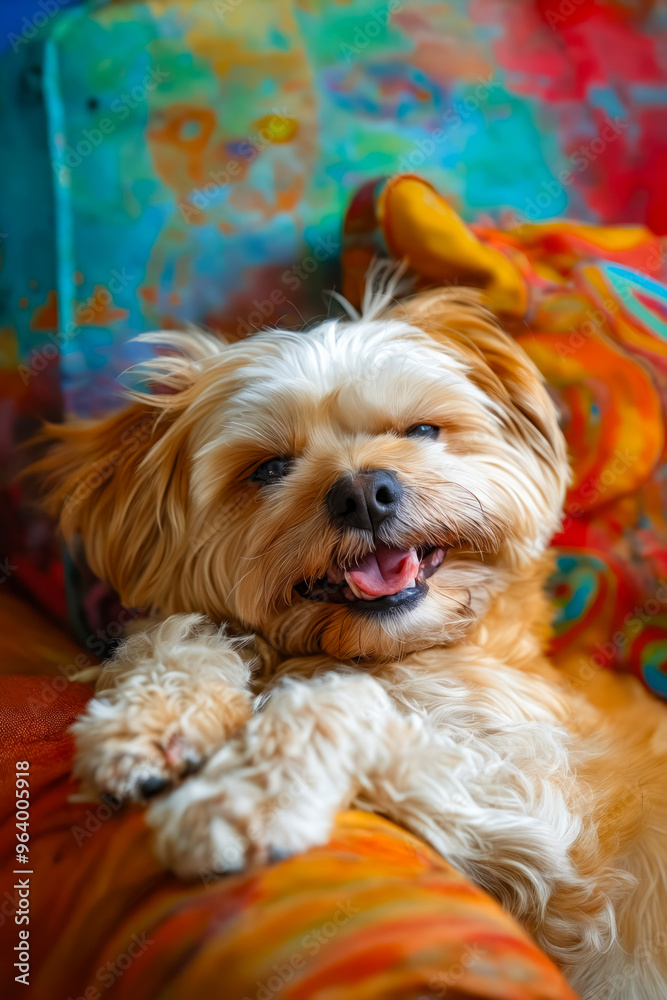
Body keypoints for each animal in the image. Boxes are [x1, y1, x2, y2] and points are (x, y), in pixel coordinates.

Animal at [34, 286, 667, 996]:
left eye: (421, 431)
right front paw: (149, 722)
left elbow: (336, 701)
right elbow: (180, 629)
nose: (365, 492)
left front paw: (241, 800)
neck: (391, 651)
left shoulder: (560, 825)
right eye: (269, 469)